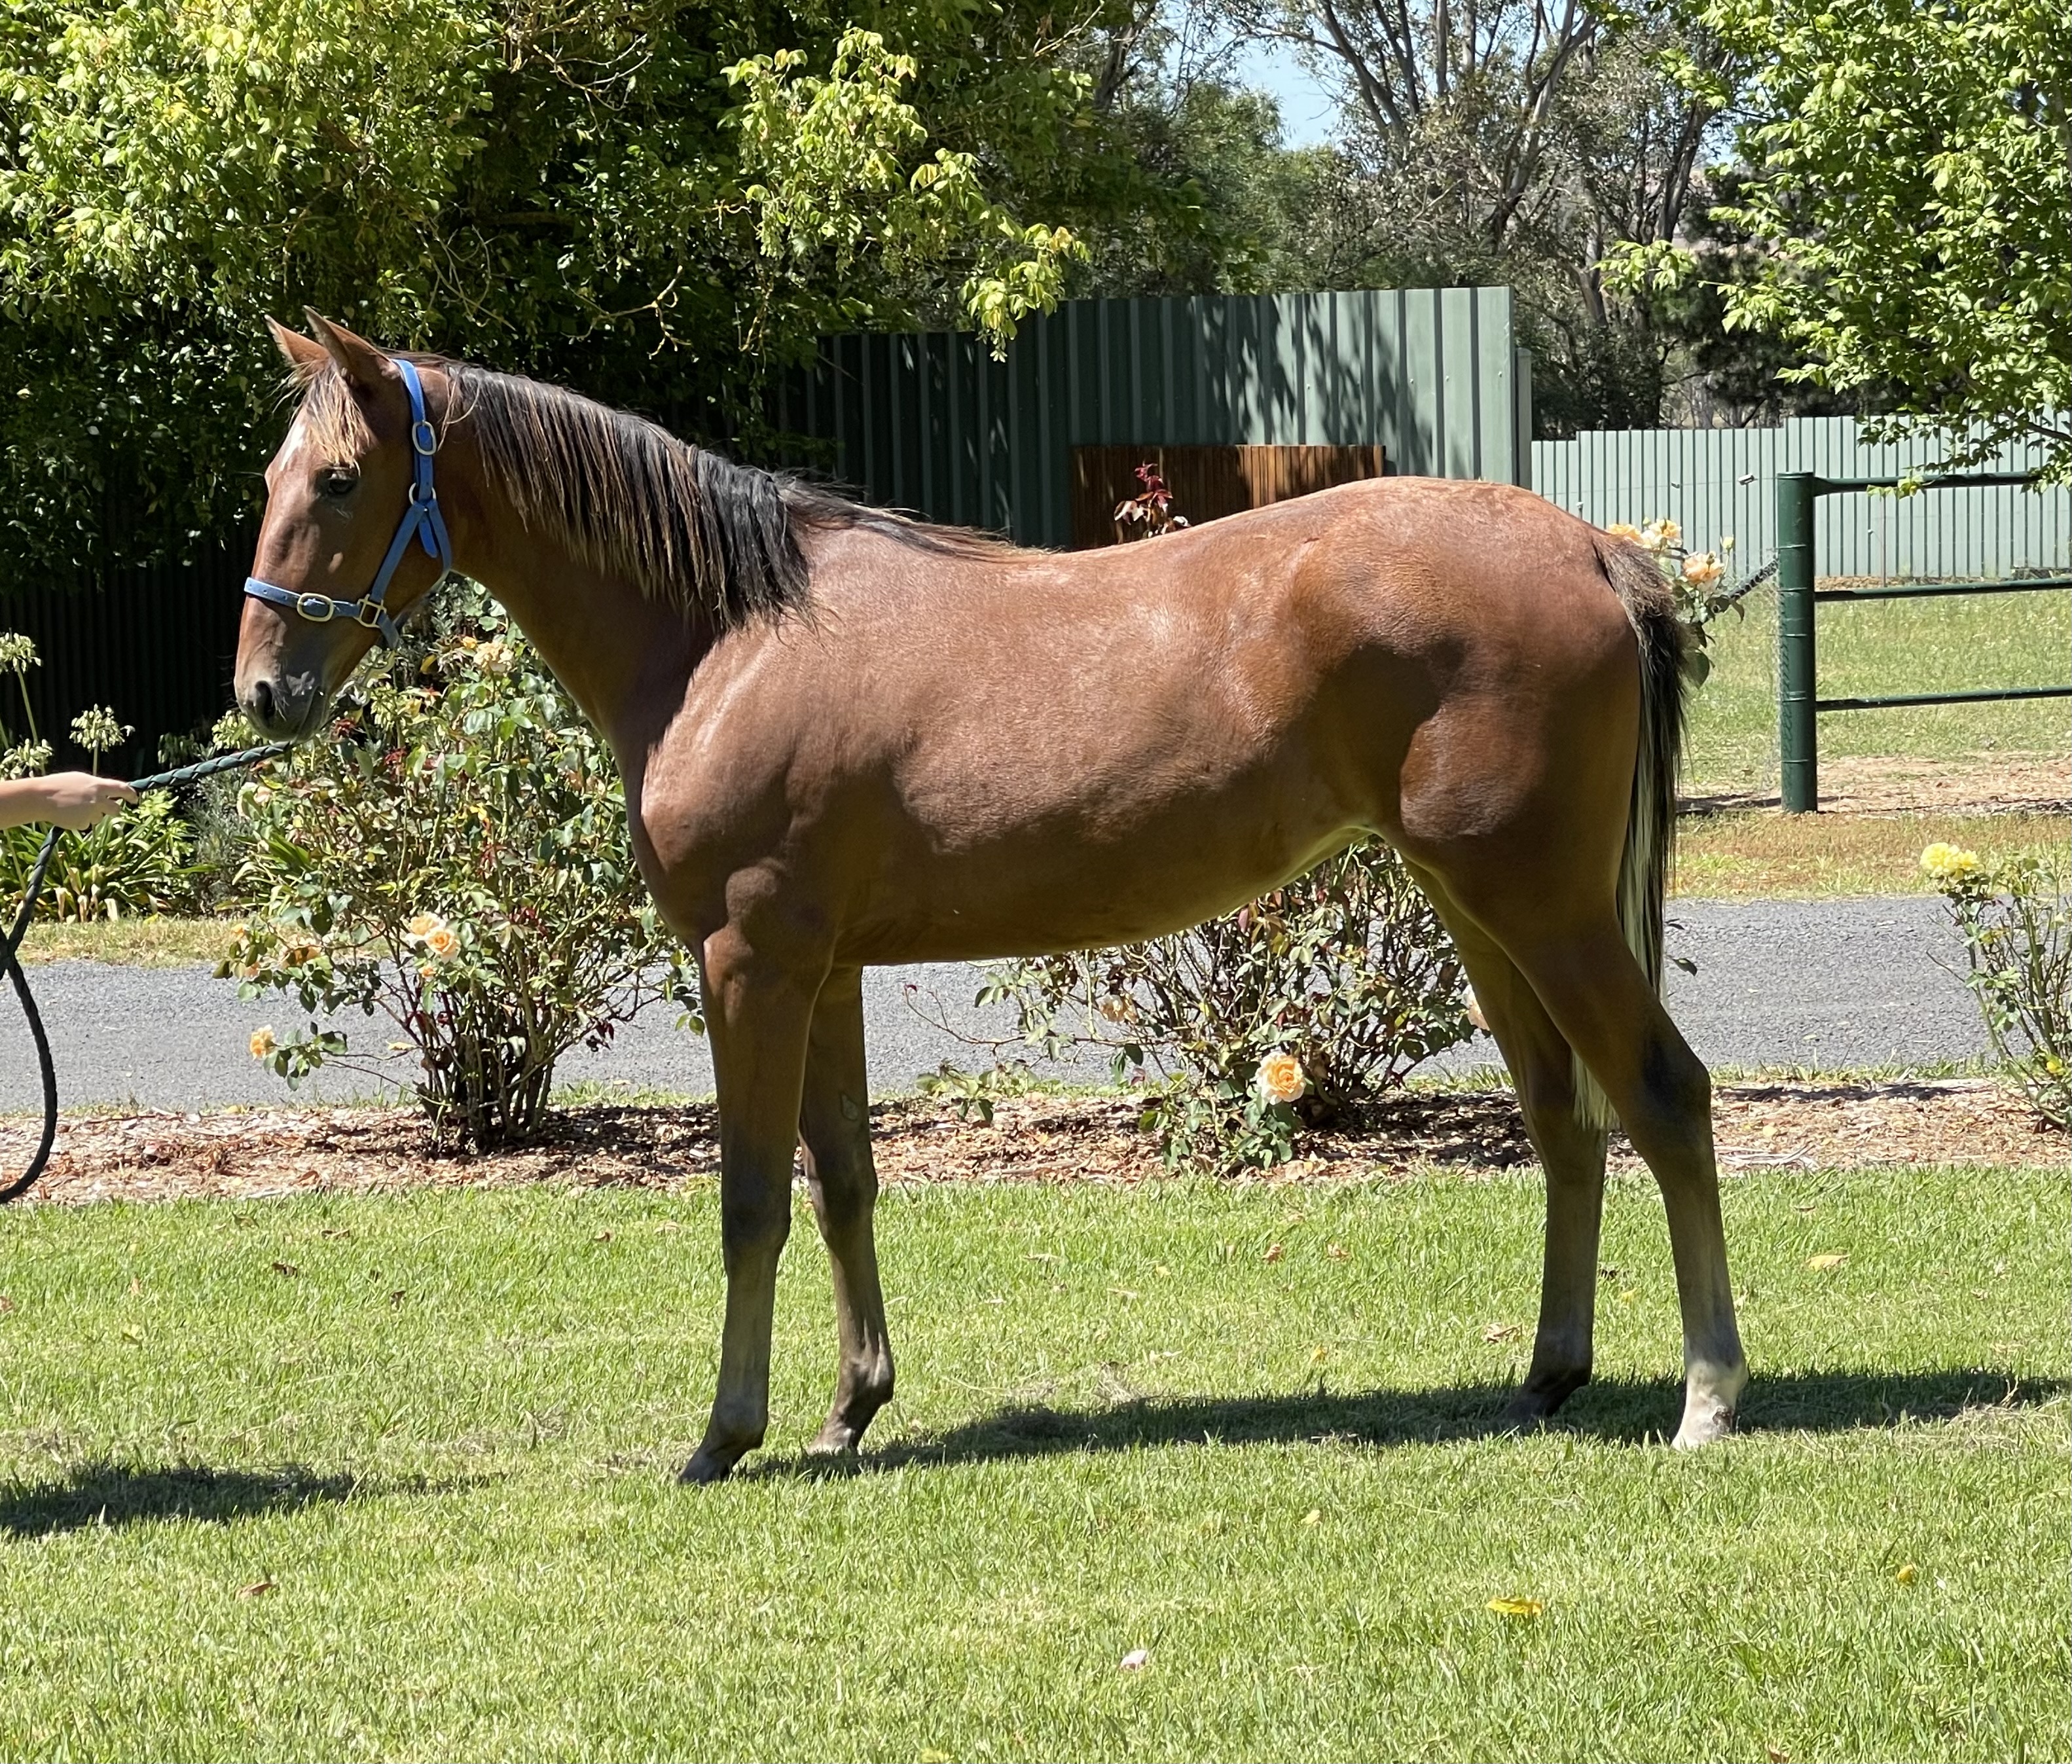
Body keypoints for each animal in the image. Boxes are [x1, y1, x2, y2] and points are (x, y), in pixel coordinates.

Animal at [235, 312, 1746, 1481]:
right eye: (276, 472)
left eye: (343, 479)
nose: (262, 692)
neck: (728, 637)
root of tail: (1587, 548)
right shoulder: (822, 968)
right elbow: (843, 1180)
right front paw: (850, 1409)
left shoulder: (747, 962)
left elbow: (749, 1199)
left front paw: (726, 1436)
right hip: (1477, 908)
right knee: (1562, 1119)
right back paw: (1546, 1379)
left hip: (1543, 908)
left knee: (1663, 1097)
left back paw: (1708, 1396)